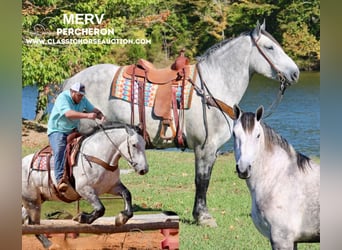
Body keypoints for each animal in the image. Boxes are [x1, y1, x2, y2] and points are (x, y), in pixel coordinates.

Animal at [61, 21, 300, 227]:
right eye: (270, 47)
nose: (295, 73)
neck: (212, 86)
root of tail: (71, 81)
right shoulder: (205, 147)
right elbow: (202, 180)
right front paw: (203, 216)